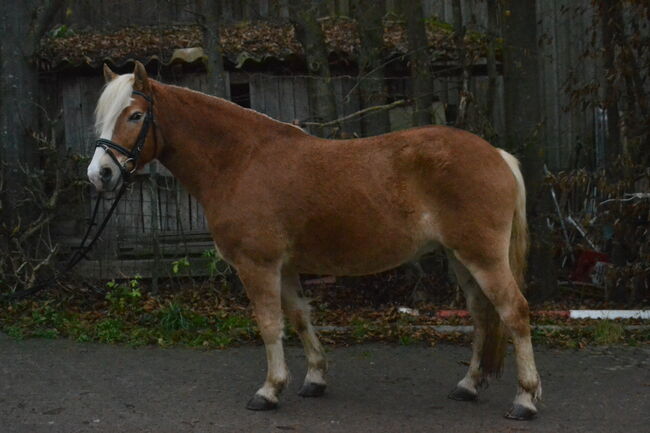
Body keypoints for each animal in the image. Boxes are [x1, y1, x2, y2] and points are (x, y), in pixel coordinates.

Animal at [87, 62, 540, 420]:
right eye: (103, 118)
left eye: (134, 115)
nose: (100, 174)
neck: (240, 162)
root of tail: (497, 155)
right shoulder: (285, 266)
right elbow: (301, 317)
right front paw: (315, 378)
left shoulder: (257, 265)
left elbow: (270, 324)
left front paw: (269, 390)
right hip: (460, 258)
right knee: (482, 315)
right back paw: (468, 385)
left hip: (483, 256)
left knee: (514, 312)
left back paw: (525, 400)